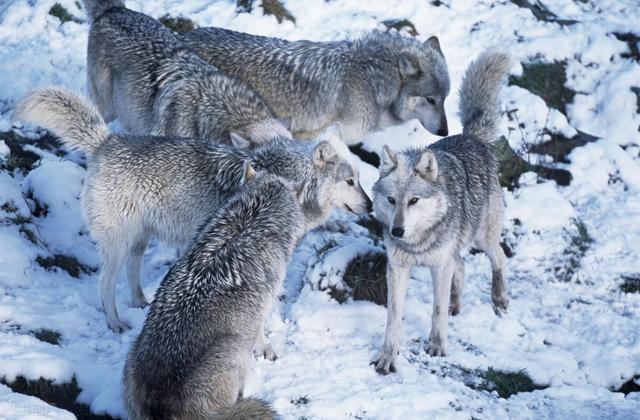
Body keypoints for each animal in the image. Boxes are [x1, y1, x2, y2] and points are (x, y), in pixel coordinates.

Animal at [15, 86, 370, 344]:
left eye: (359, 178)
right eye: (350, 181)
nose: (370, 207)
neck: (288, 179)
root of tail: (107, 140)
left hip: (140, 238)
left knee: (133, 270)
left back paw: (140, 301)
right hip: (118, 244)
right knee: (105, 284)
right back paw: (115, 323)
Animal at [126, 167, 306, 420]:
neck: (253, 216)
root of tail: (159, 404)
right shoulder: (264, 302)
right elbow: (261, 333)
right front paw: (267, 350)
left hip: (132, 353)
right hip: (236, 354)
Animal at [370, 50, 510, 374]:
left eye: (414, 201)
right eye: (392, 200)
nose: (397, 231)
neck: (418, 242)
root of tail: (473, 137)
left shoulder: (438, 265)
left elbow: (435, 310)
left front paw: (436, 346)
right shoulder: (397, 269)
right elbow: (393, 318)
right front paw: (388, 358)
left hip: (483, 238)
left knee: (499, 258)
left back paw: (499, 299)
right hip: (456, 250)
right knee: (462, 266)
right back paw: (456, 304)